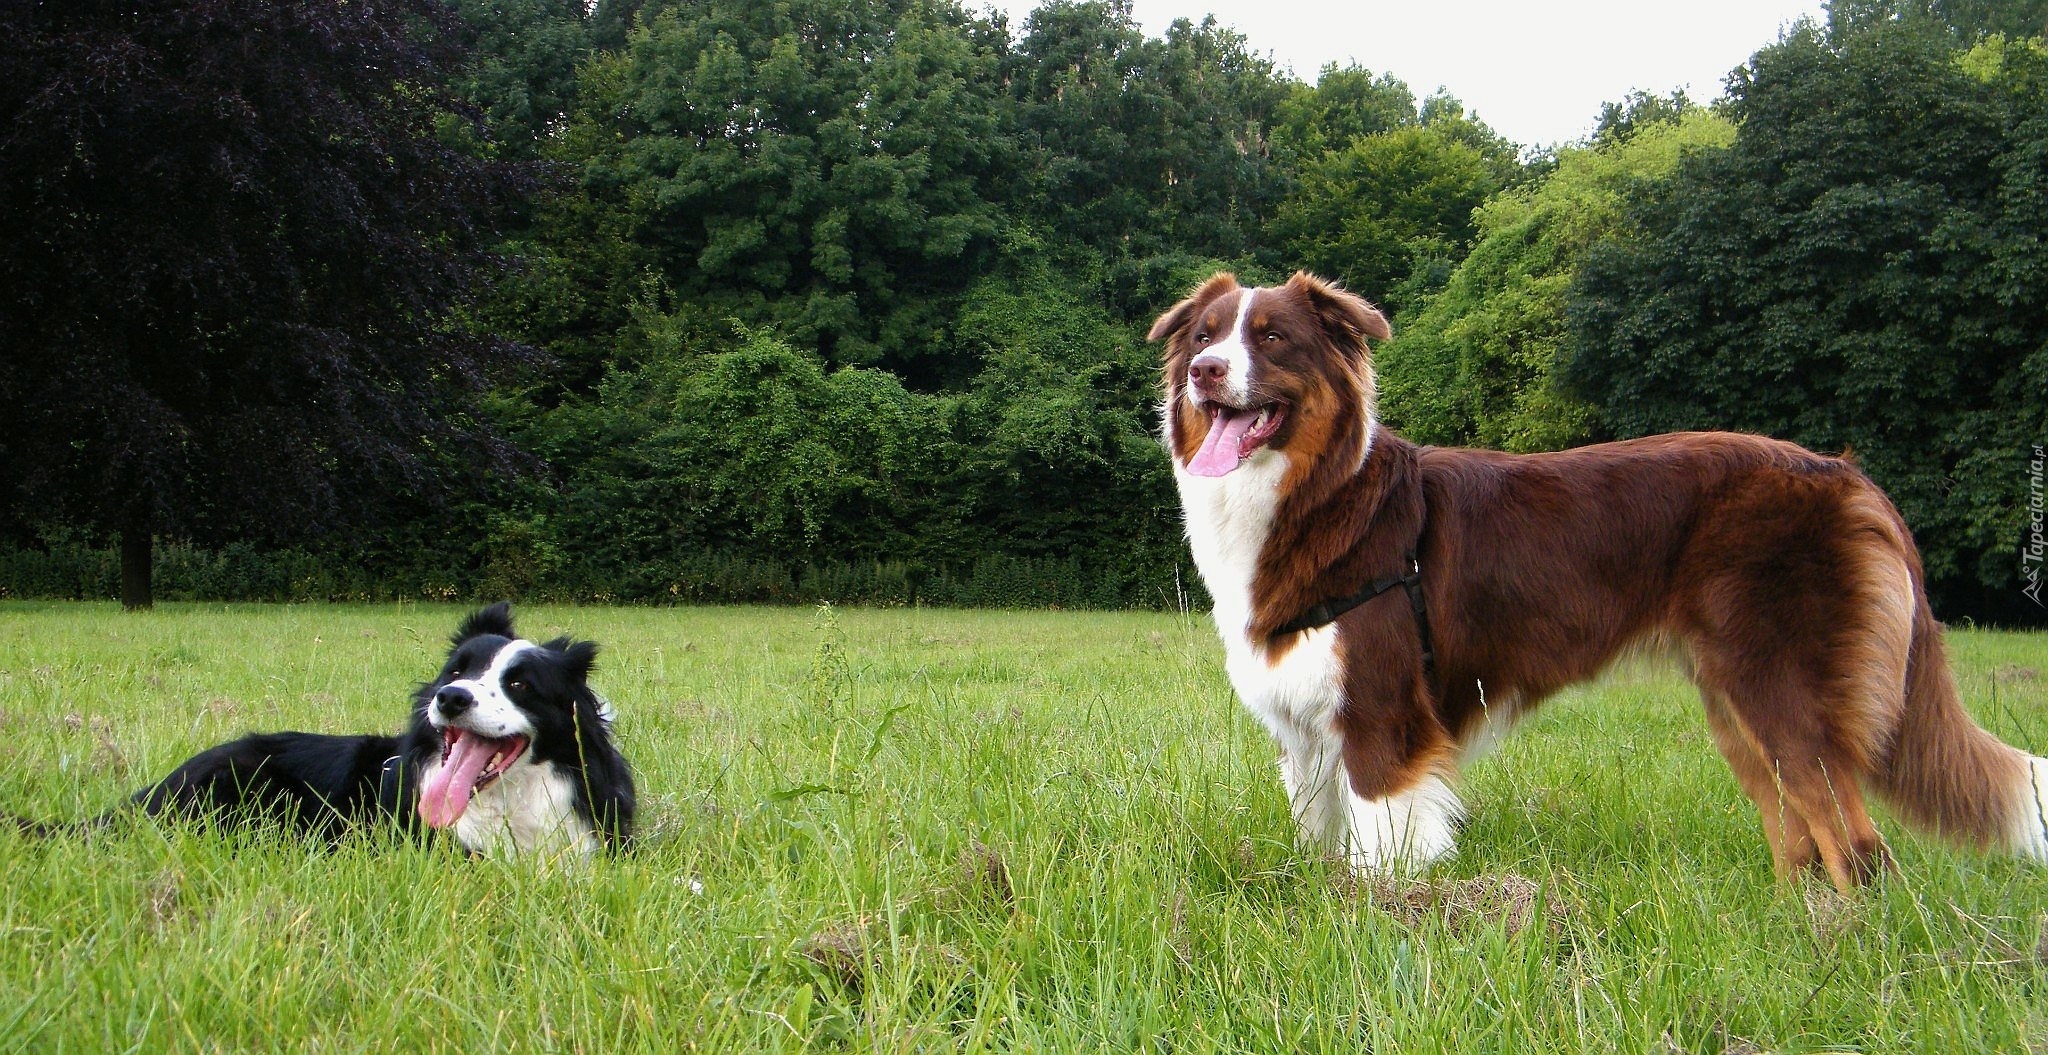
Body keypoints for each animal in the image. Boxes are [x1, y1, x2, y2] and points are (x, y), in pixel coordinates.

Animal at [1155, 268, 2048, 889]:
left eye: (1273, 338)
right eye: (1203, 334)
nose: (1204, 370)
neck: (1316, 494)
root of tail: (1847, 475)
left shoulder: (1384, 720)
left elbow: (1382, 849)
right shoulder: (1307, 733)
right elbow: (1320, 841)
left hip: (1785, 690)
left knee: (1860, 848)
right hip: (1736, 705)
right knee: (1801, 839)